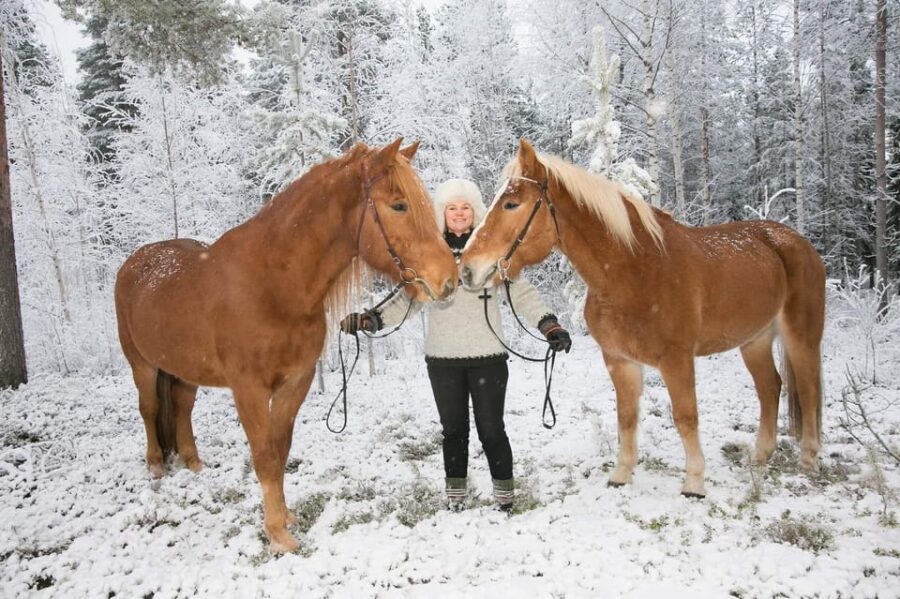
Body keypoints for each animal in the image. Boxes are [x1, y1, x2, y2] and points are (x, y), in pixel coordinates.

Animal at [114, 139, 457, 552]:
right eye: (399, 205)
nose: (450, 279)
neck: (273, 286)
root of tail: (136, 262)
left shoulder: (296, 382)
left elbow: (281, 450)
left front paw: (286, 517)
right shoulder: (249, 390)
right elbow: (264, 456)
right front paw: (278, 535)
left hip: (184, 370)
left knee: (181, 407)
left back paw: (193, 462)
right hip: (142, 364)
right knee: (149, 409)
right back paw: (155, 465)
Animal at [459, 139, 825, 498]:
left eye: (511, 204)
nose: (467, 269)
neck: (634, 271)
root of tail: (797, 242)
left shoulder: (677, 360)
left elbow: (685, 417)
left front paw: (694, 482)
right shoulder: (619, 361)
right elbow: (626, 418)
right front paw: (621, 476)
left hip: (801, 336)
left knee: (808, 390)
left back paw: (808, 460)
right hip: (755, 340)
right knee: (770, 388)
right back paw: (760, 456)